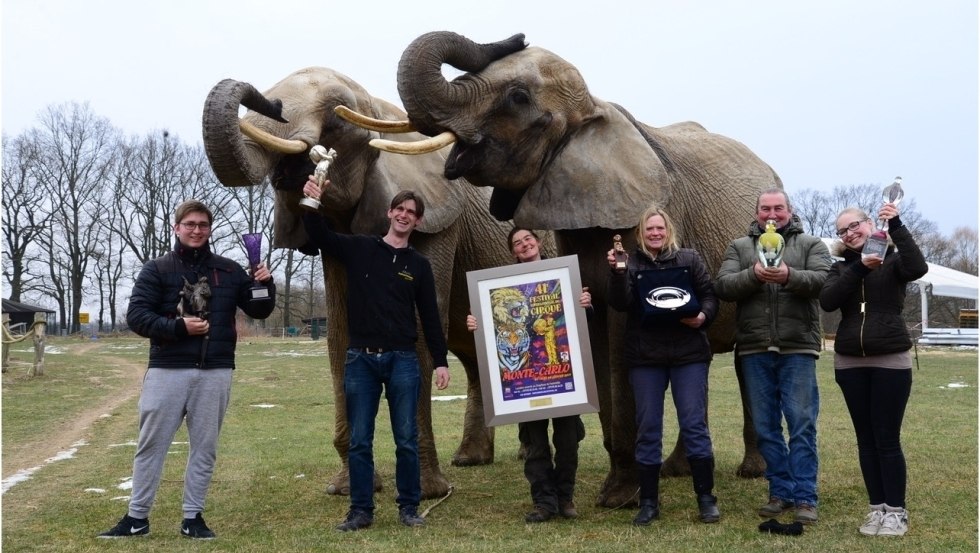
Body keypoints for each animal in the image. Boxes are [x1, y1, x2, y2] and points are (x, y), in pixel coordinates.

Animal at [196, 67, 544, 498]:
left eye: (338, 116)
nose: (268, 102)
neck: (382, 110)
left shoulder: (440, 218)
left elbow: (418, 327)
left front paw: (427, 492)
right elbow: (340, 333)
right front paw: (348, 490)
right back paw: (470, 459)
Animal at [352, 29, 772, 504]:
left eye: (517, 98)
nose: (517, 35)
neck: (595, 111)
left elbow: (622, 339)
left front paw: (621, 499)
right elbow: (593, 332)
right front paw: (617, 490)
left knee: (747, 364)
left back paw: (750, 472)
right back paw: (675, 470)